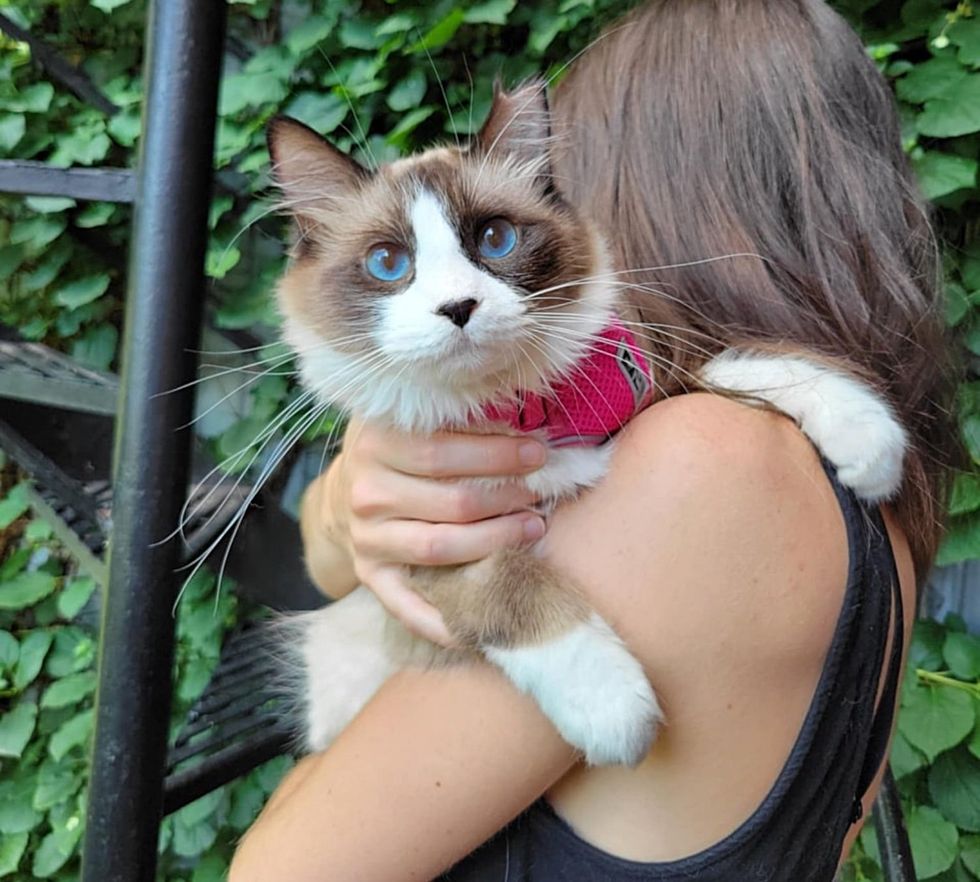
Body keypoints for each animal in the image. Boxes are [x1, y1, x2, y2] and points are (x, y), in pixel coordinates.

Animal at [264, 84, 908, 768]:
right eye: (389, 263)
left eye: (495, 238)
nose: (458, 307)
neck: (527, 412)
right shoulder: (426, 551)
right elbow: (514, 586)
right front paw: (616, 713)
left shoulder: (648, 395)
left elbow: (737, 367)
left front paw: (869, 445)